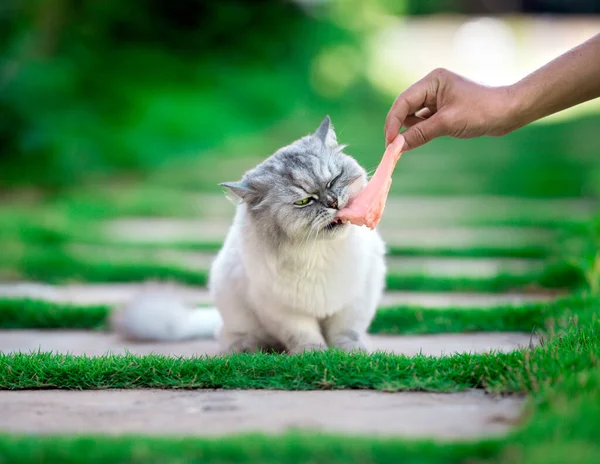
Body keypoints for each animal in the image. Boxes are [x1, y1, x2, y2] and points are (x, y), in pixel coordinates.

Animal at [111, 116, 384, 352]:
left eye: (333, 180)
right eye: (304, 201)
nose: (333, 203)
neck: (319, 251)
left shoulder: (355, 300)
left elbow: (345, 332)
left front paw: (350, 353)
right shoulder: (283, 310)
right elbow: (305, 336)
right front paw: (314, 355)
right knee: (231, 337)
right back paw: (249, 350)